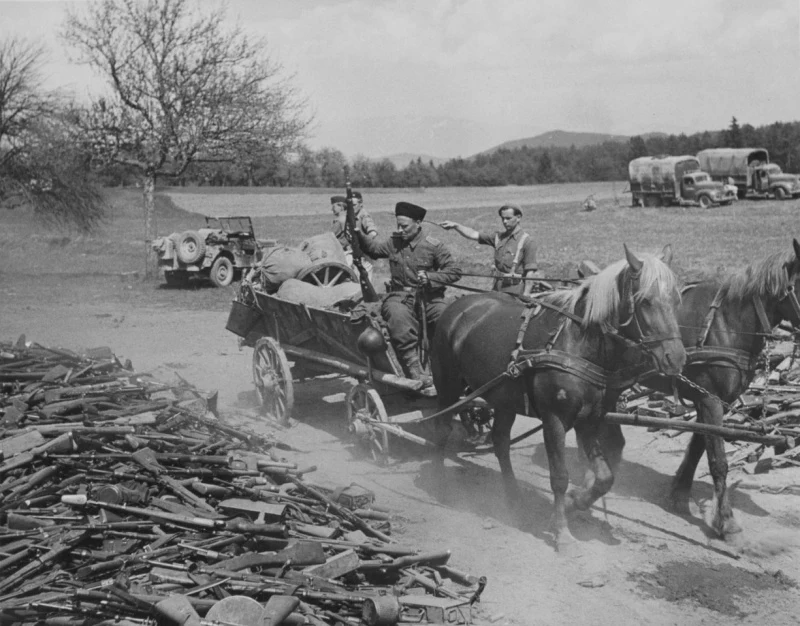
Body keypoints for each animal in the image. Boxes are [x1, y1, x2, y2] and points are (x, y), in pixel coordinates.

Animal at [616, 236, 800, 540]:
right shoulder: (711, 400)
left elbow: (698, 448)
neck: (728, 323)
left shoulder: (713, 401)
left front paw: (679, 495)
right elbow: (718, 461)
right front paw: (725, 521)